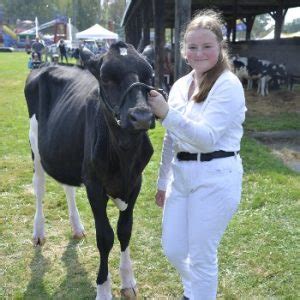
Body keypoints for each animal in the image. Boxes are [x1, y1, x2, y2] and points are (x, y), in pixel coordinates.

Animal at [24, 41, 158, 298]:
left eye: (149, 75)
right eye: (105, 78)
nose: (142, 116)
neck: (124, 156)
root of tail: (45, 64)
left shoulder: (136, 182)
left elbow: (125, 230)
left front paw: (128, 281)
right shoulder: (95, 186)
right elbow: (105, 237)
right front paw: (103, 288)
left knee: (67, 187)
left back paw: (76, 227)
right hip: (36, 147)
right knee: (39, 188)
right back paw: (38, 233)